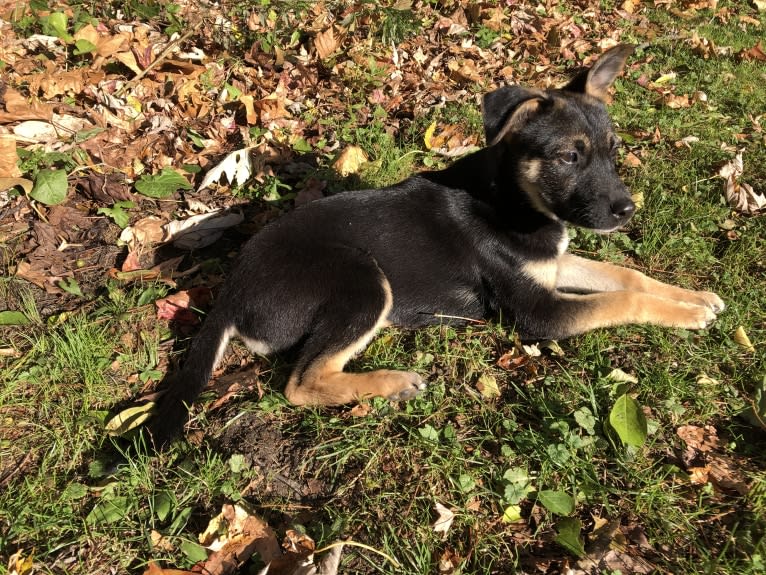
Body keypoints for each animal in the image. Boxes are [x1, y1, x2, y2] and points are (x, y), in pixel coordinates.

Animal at [146, 47, 728, 448]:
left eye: (612, 151)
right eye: (568, 157)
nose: (627, 210)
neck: (511, 197)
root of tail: (229, 294)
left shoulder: (552, 265)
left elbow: (625, 276)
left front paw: (696, 296)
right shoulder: (537, 314)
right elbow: (620, 298)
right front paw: (687, 314)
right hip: (363, 281)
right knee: (302, 383)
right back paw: (391, 382)